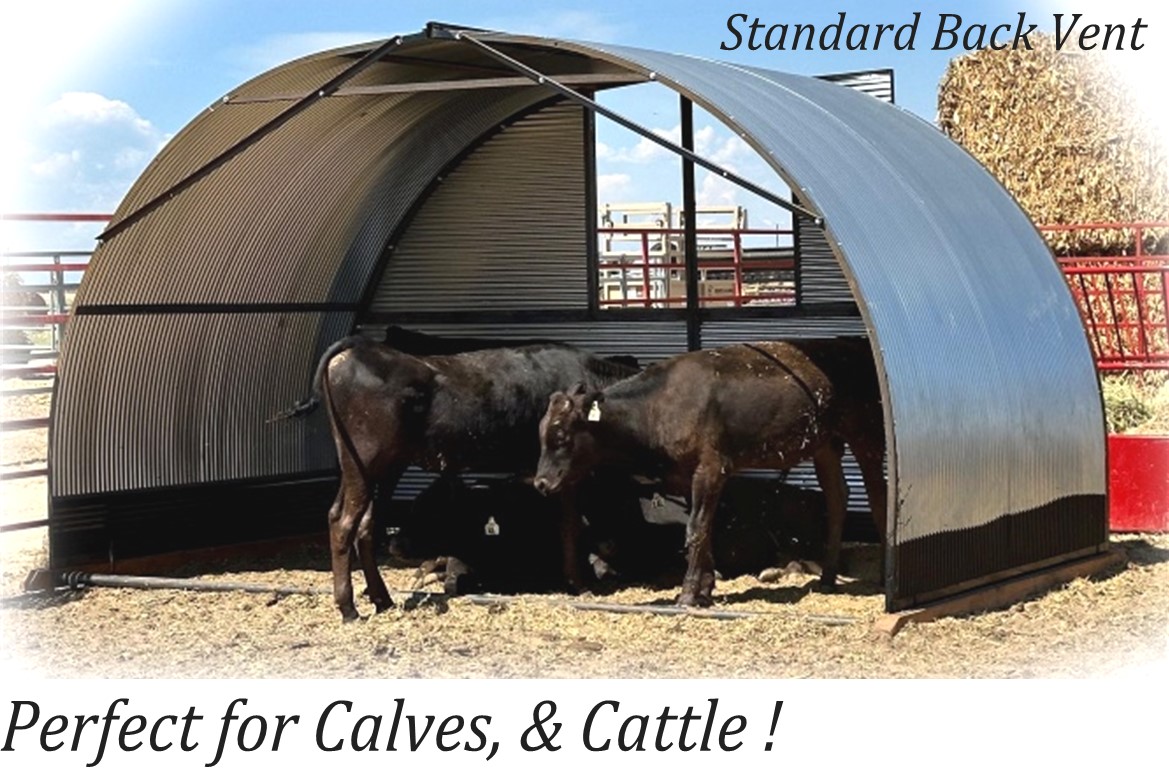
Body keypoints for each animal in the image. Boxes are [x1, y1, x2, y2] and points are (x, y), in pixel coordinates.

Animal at [278, 333, 638, 621]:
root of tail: (360, 348)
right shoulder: (560, 474)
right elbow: (570, 524)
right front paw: (578, 583)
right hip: (365, 460)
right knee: (344, 522)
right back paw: (349, 608)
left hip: (377, 466)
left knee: (361, 523)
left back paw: (382, 599)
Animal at [534, 338, 887, 608]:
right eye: (541, 435)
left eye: (561, 436)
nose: (541, 482)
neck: (660, 405)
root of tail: (853, 343)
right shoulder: (685, 476)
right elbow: (705, 529)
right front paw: (705, 587)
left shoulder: (712, 467)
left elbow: (696, 529)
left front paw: (688, 594)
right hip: (825, 444)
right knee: (837, 497)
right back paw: (827, 577)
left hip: (866, 437)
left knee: (877, 497)